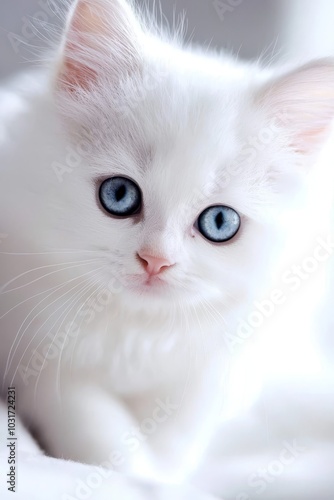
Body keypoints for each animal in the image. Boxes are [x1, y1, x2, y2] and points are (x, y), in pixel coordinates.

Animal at [0, 0, 334, 500]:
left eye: (220, 223)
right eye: (119, 195)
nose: (155, 261)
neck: (137, 329)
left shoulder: (219, 364)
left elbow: (179, 432)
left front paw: (163, 474)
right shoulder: (38, 356)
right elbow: (100, 430)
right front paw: (135, 475)